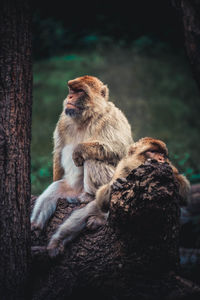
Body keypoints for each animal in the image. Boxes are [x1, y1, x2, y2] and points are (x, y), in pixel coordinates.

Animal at [46, 137, 190, 256]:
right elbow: (101, 199)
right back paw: (56, 244)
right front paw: (113, 185)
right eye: (153, 151)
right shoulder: (123, 168)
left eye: (162, 154)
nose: (161, 159)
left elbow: (184, 196)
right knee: (88, 211)